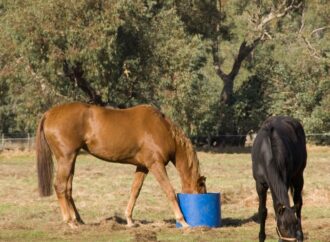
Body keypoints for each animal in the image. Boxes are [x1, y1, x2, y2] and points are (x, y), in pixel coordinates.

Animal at [36, 103, 206, 228]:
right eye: (202, 192)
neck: (162, 129)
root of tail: (49, 114)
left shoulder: (143, 167)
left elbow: (135, 191)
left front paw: (130, 220)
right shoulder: (155, 165)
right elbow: (169, 190)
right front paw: (183, 221)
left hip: (71, 160)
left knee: (68, 189)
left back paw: (78, 220)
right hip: (66, 158)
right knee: (60, 186)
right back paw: (70, 222)